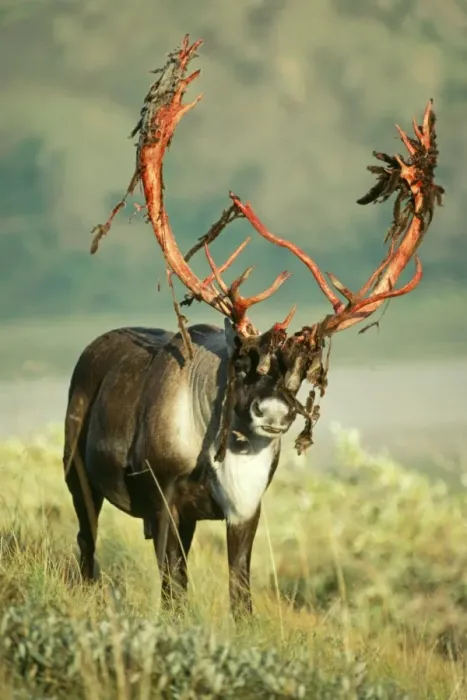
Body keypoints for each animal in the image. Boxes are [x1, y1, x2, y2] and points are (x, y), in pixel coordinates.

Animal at [63, 35, 443, 620]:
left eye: (304, 372)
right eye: (242, 361)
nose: (275, 414)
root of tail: (94, 345)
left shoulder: (246, 509)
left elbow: (239, 591)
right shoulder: (165, 497)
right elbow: (172, 587)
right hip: (76, 467)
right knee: (86, 540)